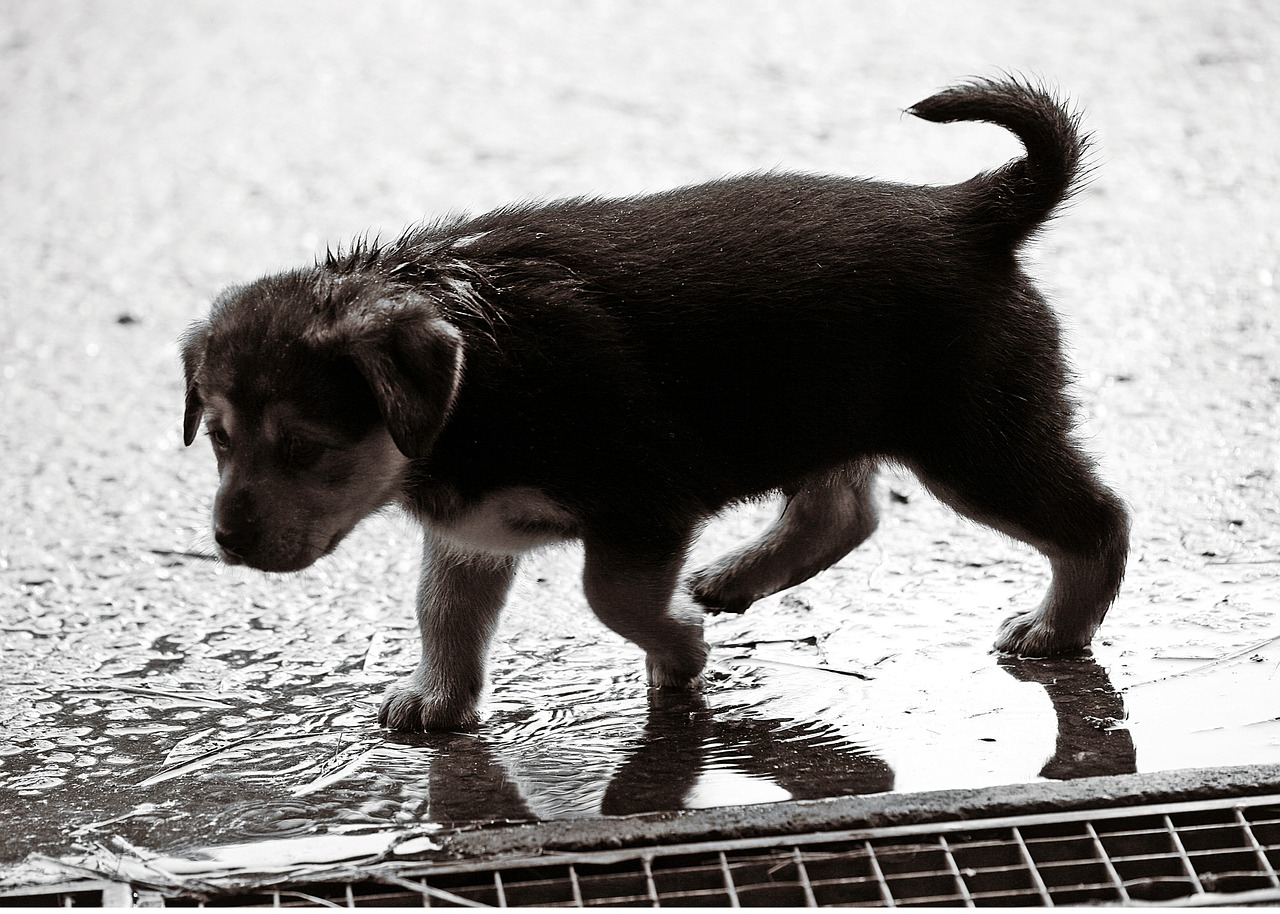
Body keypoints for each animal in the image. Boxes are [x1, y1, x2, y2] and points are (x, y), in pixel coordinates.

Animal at [183, 80, 1131, 732]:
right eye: (219, 441)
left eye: (307, 447)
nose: (227, 543)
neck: (477, 376)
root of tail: (973, 211)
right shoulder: (472, 531)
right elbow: (443, 613)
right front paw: (438, 701)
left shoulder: (640, 504)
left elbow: (611, 596)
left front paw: (678, 648)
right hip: (822, 406)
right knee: (844, 507)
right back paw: (739, 575)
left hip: (975, 440)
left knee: (1098, 521)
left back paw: (1057, 628)